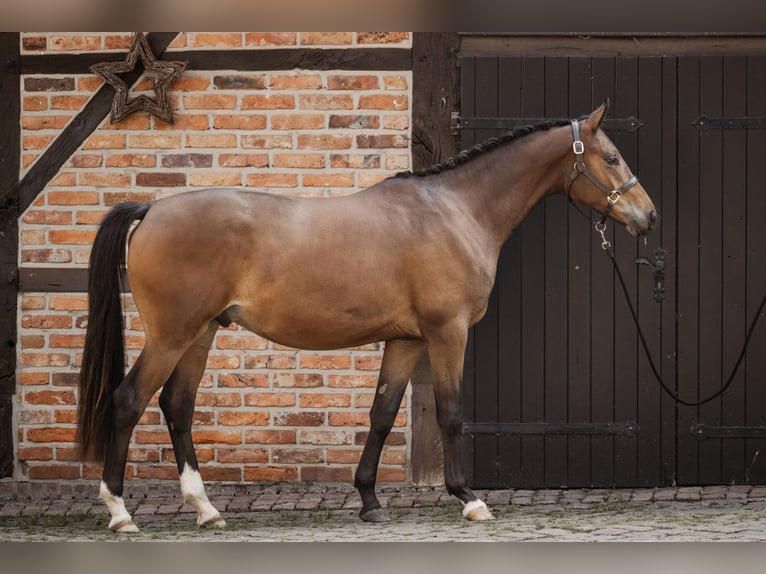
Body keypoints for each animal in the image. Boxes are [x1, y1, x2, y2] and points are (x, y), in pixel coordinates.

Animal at [75, 100, 656, 536]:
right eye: (611, 156)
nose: (647, 216)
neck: (454, 209)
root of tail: (150, 209)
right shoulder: (446, 333)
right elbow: (450, 412)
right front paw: (469, 498)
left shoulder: (405, 340)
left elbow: (381, 414)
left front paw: (370, 501)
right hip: (172, 335)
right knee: (128, 401)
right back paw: (122, 513)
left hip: (199, 335)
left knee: (177, 406)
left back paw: (206, 509)